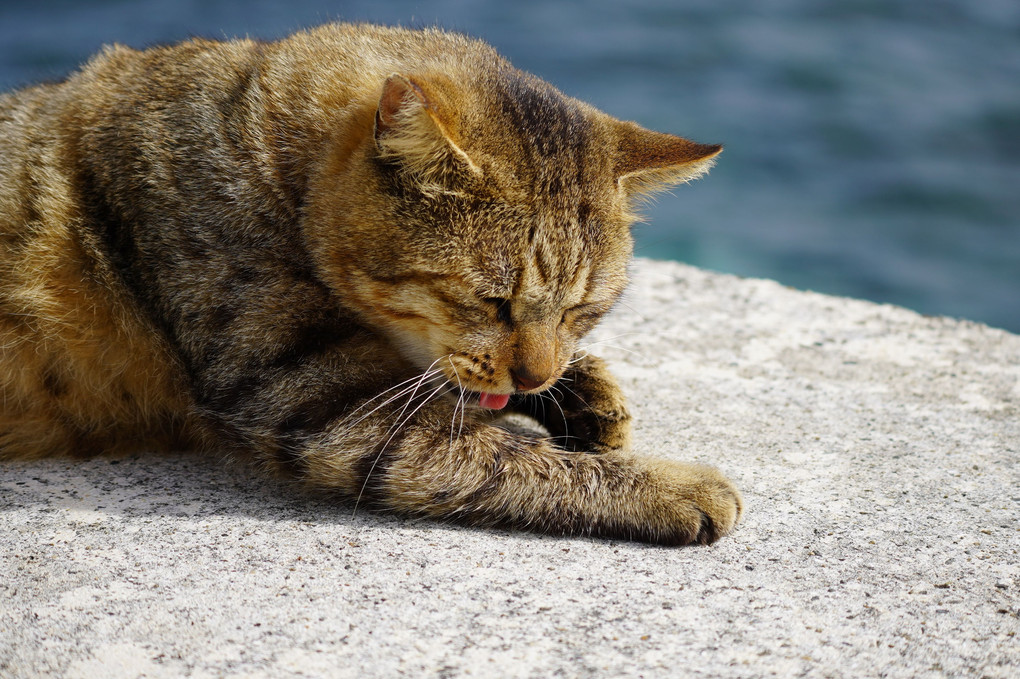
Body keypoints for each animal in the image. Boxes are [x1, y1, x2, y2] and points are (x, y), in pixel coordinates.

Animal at [3, 22, 746, 546]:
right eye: (491, 301)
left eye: (583, 310)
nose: (535, 376)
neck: (265, 158)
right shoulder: (337, 410)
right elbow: (516, 458)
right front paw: (671, 486)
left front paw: (582, 390)